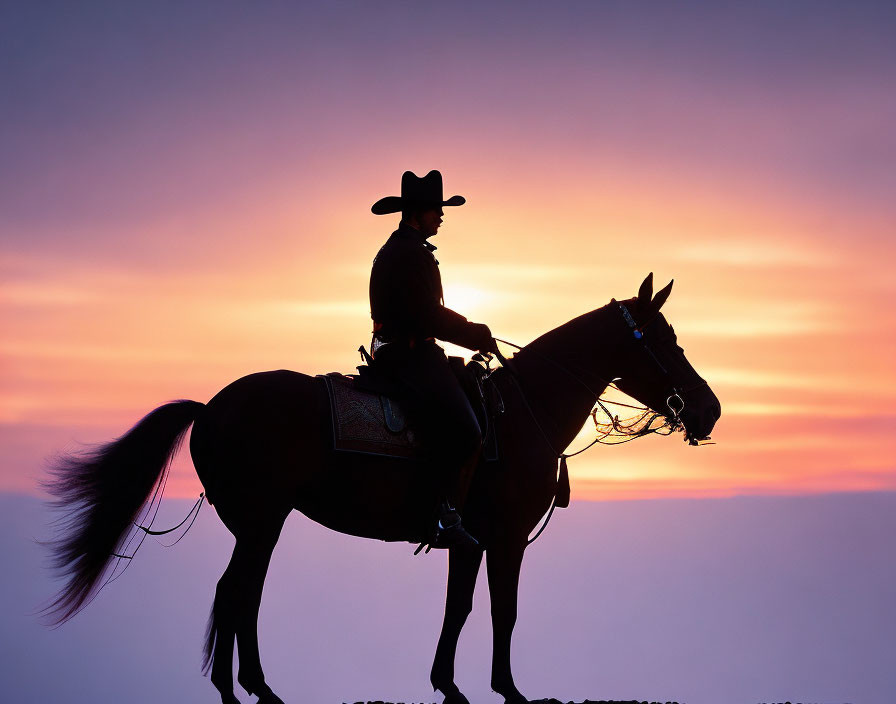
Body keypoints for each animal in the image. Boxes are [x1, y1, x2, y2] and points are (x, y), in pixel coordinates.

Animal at [43, 276, 720, 704]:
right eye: (666, 340)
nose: (709, 410)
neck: (523, 413)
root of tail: (210, 407)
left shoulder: (469, 542)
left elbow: (458, 608)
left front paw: (449, 685)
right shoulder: (505, 541)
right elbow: (503, 611)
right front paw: (509, 690)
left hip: (258, 523)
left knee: (241, 593)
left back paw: (247, 689)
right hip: (262, 520)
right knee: (238, 592)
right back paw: (251, 691)